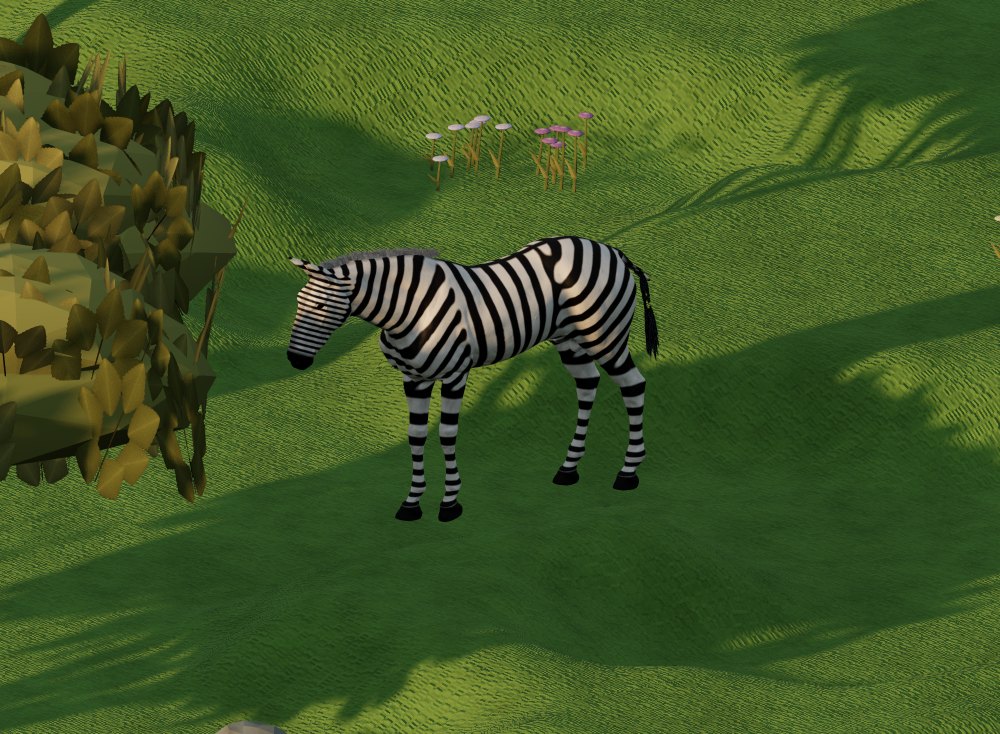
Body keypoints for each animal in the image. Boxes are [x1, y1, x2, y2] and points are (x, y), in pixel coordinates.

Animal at [287, 236, 659, 522]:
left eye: (319, 307)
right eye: (298, 303)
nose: (294, 360)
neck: (408, 308)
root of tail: (611, 250)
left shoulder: (455, 373)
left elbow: (447, 435)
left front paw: (450, 502)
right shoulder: (415, 378)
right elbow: (415, 437)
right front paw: (412, 502)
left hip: (605, 336)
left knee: (633, 385)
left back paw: (628, 472)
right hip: (570, 341)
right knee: (588, 385)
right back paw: (569, 468)